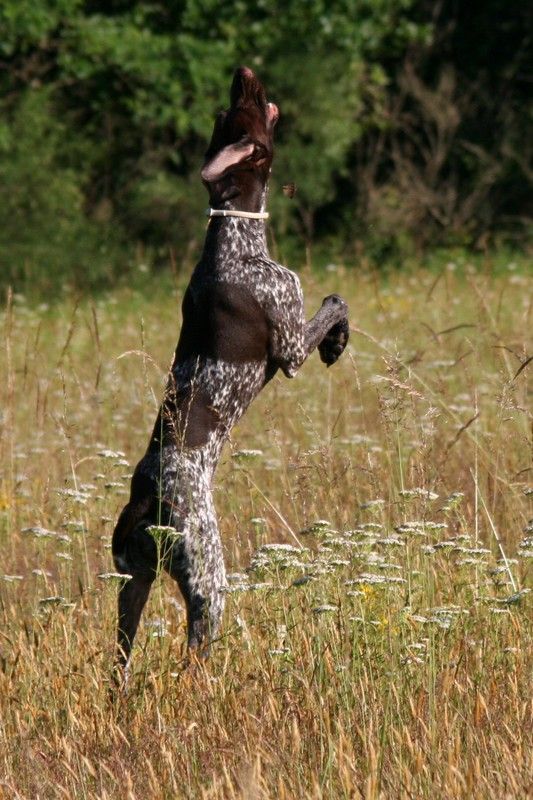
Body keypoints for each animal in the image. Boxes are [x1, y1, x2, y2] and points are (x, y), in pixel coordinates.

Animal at [110, 65, 348, 684]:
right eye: (242, 109)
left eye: (224, 110)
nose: (244, 70)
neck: (234, 238)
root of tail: (147, 500)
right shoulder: (289, 345)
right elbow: (335, 303)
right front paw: (338, 341)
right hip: (207, 579)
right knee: (194, 652)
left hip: (132, 585)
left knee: (119, 661)